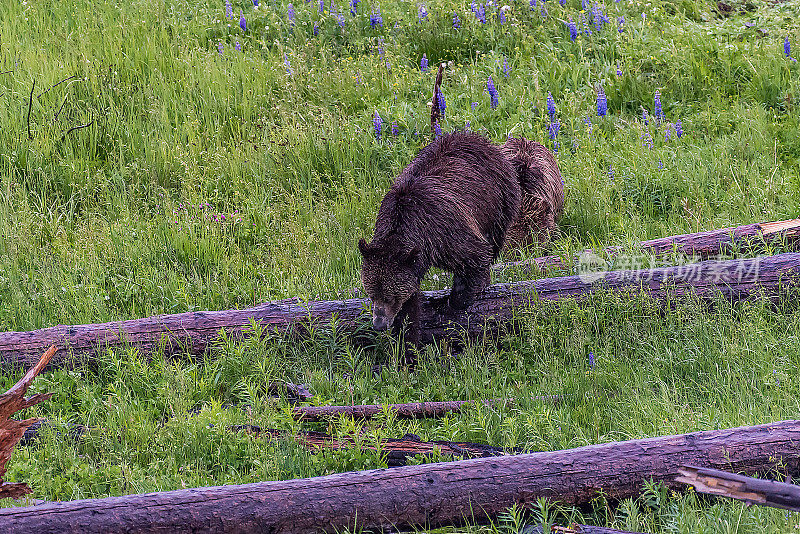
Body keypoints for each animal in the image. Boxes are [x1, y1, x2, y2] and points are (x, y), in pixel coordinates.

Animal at [360, 132, 520, 366]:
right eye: (372, 294)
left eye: (390, 297)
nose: (379, 324)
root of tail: (477, 138)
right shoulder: (410, 263)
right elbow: (410, 308)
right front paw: (406, 350)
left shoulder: (444, 233)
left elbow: (475, 256)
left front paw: (454, 300)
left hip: (498, 199)